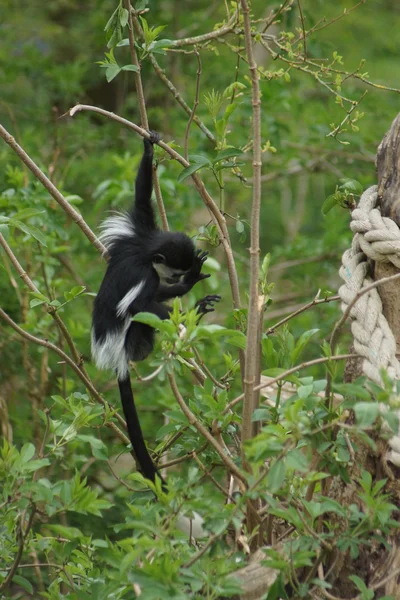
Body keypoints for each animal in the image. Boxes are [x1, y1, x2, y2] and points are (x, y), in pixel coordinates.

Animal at [92, 131, 220, 488]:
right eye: (173, 272)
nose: (177, 278)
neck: (147, 252)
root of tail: (118, 356)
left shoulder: (137, 232)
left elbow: (141, 198)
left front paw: (149, 147)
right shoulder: (144, 273)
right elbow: (140, 305)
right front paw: (188, 308)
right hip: (135, 340)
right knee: (143, 316)